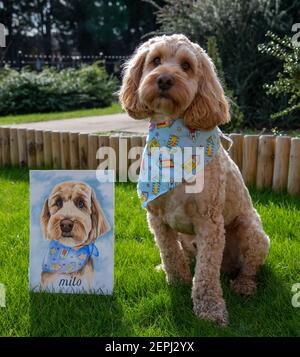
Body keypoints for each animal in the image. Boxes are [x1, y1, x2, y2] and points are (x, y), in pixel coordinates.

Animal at [119, 34, 270, 326]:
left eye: (187, 65)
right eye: (155, 60)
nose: (164, 79)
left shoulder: (209, 222)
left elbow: (206, 274)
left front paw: (210, 309)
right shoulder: (156, 218)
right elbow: (170, 254)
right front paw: (176, 281)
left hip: (252, 230)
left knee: (248, 267)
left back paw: (244, 286)